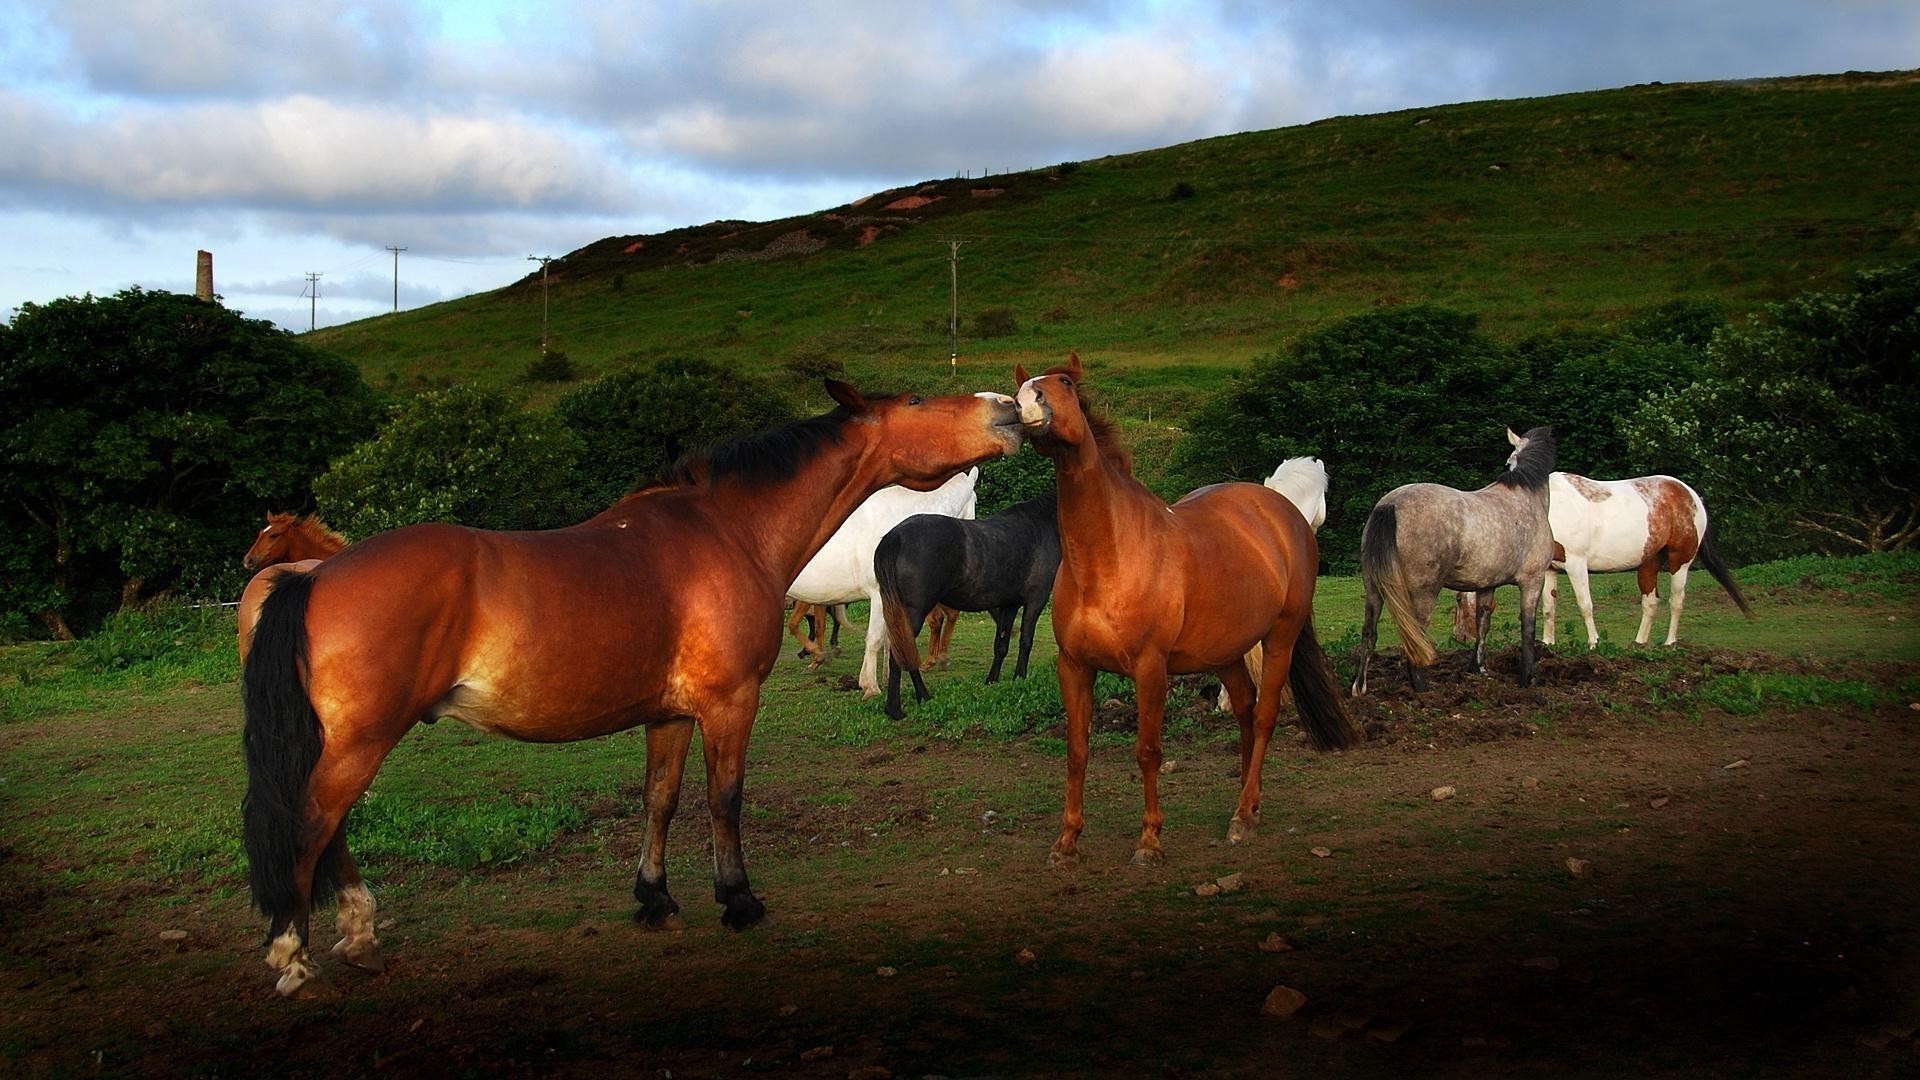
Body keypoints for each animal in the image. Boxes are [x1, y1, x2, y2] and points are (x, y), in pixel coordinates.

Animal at [245, 382, 1029, 999]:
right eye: (918, 402)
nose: (1007, 409)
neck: (728, 532)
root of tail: (314, 576)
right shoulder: (729, 702)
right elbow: (724, 798)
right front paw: (738, 898)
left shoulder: (670, 715)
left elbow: (660, 799)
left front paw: (654, 898)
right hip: (361, 738)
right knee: (312, 823)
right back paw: (295, 957)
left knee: (330, 826)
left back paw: (360, 938)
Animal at [875, 491, 1059, 718]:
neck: (1041, 525)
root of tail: (895, 537)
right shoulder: (1036, 599)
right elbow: (1025, 641)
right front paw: (1020, 677)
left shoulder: (1009, 605)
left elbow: (1001, 645)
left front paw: (992, 681)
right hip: (914, 612)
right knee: (900, 654)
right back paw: (896, 708)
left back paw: (922, 697)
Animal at [1013, 355, 1359, 864]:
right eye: (1020, 386)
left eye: (1065, 384)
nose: (1025, 405)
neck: (1109, 556)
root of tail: (1283, 512)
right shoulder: (1073, 666)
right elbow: (1077, 751)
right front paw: (1067, 840)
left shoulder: (1150, 668)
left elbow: (1148, 751)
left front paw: (1150, 841)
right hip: (1226, 652)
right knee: (1244, 711)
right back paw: (1248, 802)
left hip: (1280, 637)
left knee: (1264, 715)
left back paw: (1242, 816)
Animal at [1351, 420, 1559, 687]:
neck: (1526, 495)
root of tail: (1391, 505)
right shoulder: (1533, 581)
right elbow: (1528, 629)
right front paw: (1529, 678)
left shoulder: (1487, 586)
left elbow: (1482, 623)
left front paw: (1478, 668)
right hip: (1423, 592)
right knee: (1414, 635)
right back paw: (1421, 686)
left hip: (1373, 588)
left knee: (1369, 631)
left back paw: (1359, 687)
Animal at [1451, 470, 1758, 645]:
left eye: (1458, 600)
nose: (1461, 637)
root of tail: (1691, 495)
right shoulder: (1549, 569)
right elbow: (1548, 607)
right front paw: (1548, 644)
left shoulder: (1576, 564)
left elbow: (1585, 605)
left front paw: (1594, 642)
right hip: (1648, 563)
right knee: (1650, 602)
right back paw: (1639, 644)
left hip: (1679, 561)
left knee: (1676, 602)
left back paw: (1669, 643)